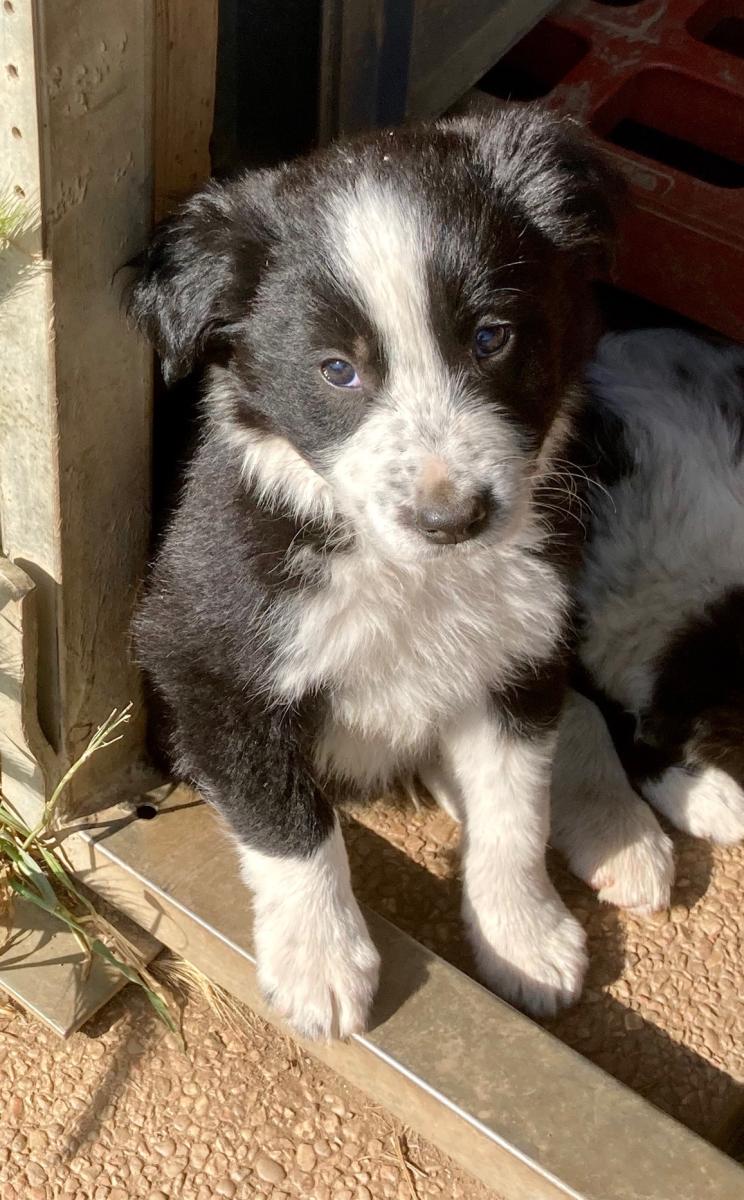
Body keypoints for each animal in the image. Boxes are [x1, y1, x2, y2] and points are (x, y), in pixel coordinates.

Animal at [129, 108, 643, 1036]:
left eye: (491, 338)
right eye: (338, 370)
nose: (453, 517)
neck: (411, 573)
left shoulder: (520, 638)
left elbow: (516, 805)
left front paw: (524, 937)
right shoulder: (203, 658)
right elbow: (287, 816)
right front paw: (322, 965)